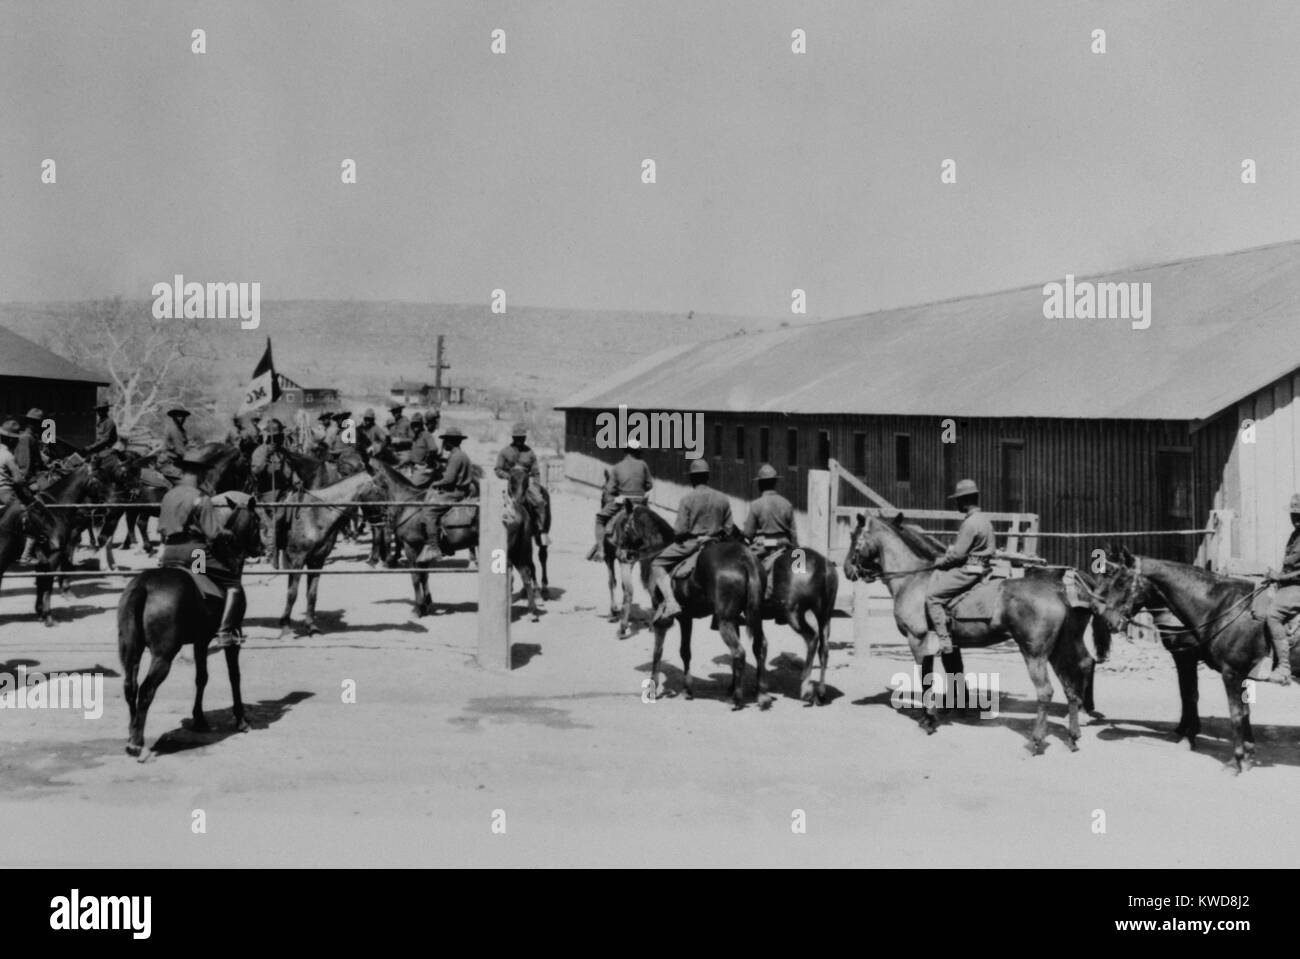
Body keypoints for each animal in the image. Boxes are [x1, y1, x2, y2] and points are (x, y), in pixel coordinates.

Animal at [115, 493, 262, 753]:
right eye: (258, 522)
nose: (262, 548)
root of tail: (143, 586)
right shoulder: (233, 635)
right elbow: (234, 676)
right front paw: (241, 719)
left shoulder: (201, 641)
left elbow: (201, 677)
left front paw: (200, 719)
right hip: (163, 655)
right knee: (146, 690)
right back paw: (137, 742)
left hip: (132, 649)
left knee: (130, 686)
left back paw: (132, 732)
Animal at [274, 467, 377, 634]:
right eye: (379, 489)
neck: (315, 514)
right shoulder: (296, 559)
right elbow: (292, 593)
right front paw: (286, 625)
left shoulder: (317, 560)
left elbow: (312, 594)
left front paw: (311, 626)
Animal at [621, 504, 769, 706]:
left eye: (626, 528)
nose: (623, 554)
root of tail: (745, 559)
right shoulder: (687, 617)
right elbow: (686, 652)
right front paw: (687, 689)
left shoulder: (665, 618)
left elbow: (659, 651)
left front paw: (656, 686)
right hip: (753, 617)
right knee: (759, 647)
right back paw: (760, 694)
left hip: (726, 620)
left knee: (739, 652)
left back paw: (737, 698)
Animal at [842, 511, 1107, 748]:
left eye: (854, 537)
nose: (846, 569)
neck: (915, 580)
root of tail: (1060, 589)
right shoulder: (951, 644)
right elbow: (955, 671)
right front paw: (956, 707)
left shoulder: (917, 641)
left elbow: (926, 680)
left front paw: (929, 720)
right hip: (1062, 647)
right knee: (1074, 679)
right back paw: (1074, 732)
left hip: (1035, 654)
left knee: (1046, 690)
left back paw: (1037, 739)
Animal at [1092, 545, 1274, 769]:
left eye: (1118, 580)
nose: (1100, 612)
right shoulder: (1188, 657)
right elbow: (1189, 694)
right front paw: (1184, 731)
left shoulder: (1186, 656)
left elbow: (1190, 694)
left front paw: (1188, 735)